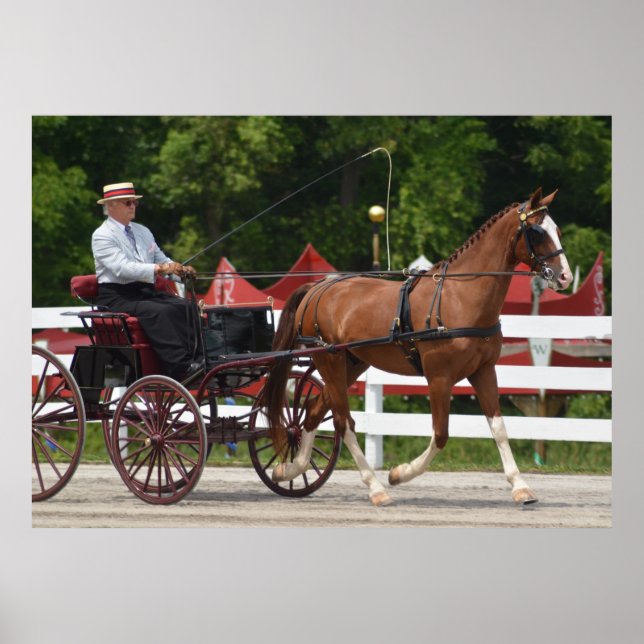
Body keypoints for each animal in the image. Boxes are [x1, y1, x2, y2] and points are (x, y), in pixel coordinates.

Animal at [261, 187, 572, 506]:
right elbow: (441, 434)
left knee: (312, 411)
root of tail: (317, 287)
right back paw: (375, 488)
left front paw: (520, 486)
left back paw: (291, 468)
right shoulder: (439, 378)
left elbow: (498, 427)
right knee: (343, 422)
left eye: (558, 231)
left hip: (352, 364)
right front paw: (399, 473)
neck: (460, 296)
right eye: (536, 232)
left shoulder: (484, 371)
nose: (565, 276)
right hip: (330, 363)